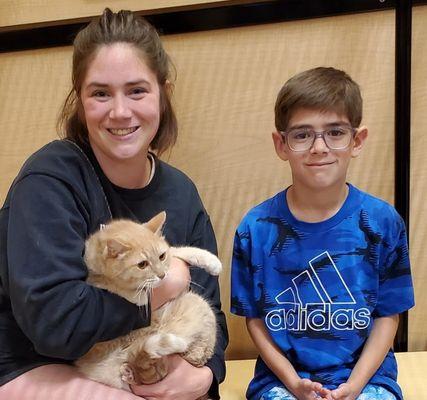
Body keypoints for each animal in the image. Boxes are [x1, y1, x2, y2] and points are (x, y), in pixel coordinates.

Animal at [75, 212, 222, 390]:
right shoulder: (93, 278)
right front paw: (140, 296)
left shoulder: (171, 254)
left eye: (161, 256)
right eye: (142, 264)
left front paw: (211, 261)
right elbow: (111, 285)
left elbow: (180, 250)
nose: (162, 275)